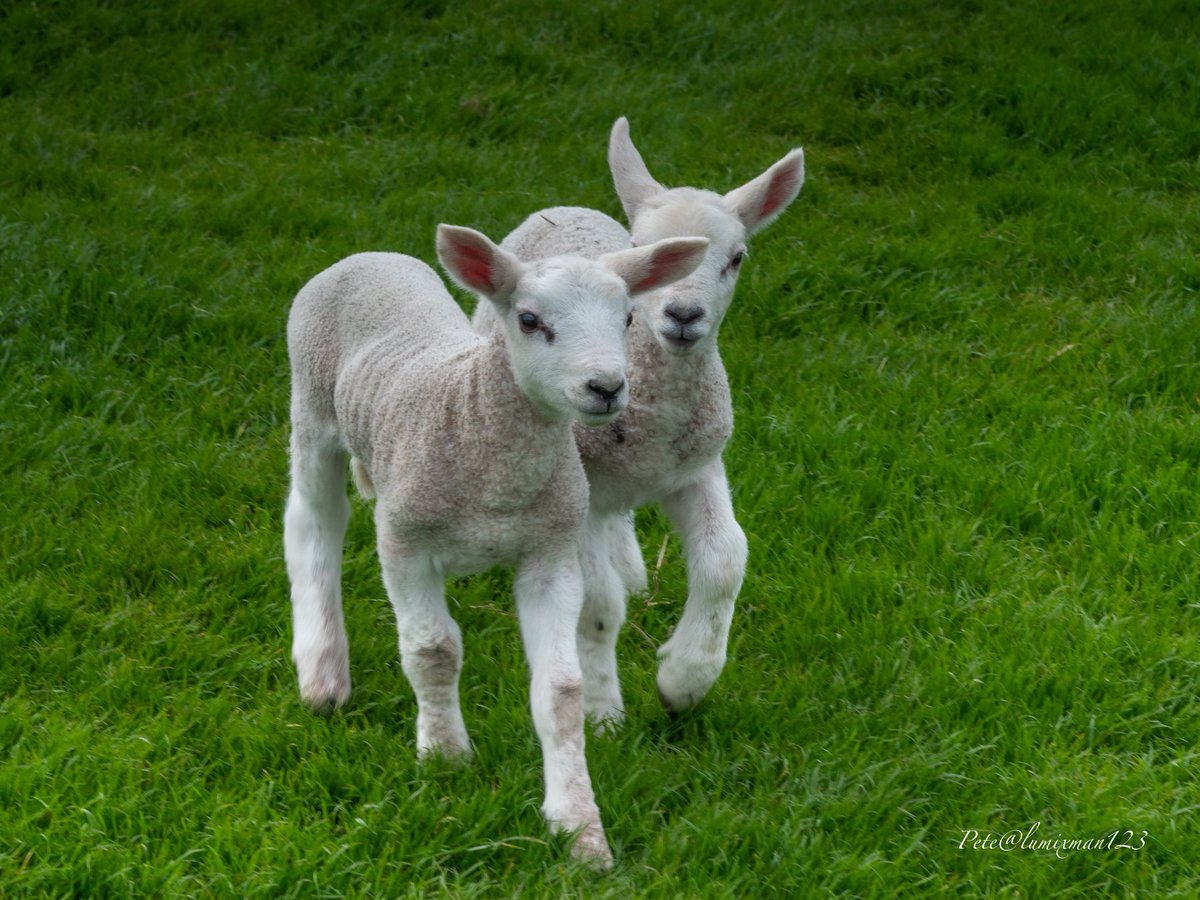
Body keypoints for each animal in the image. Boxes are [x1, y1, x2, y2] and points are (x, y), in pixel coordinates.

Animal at [284, 224, 705, 868]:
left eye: (629, 317)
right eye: (529, 320)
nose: (606, 387)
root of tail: (365, 256)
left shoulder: (550, 555)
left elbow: (561, 689)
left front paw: (579, 828)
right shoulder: (404, 543)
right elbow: (433, 651)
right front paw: (444, 756)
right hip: (310, 411)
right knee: (313, 524)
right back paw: (323, 673)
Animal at [472, 118, 801, 724]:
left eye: (737, 258)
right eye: (634, 246)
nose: (683, 315)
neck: (655, 414)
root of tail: (565, 207)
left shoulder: (697, 466)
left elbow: (726, 559)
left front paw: (685, 680)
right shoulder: (581, 490)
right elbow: (596, 606)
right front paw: (601, 711)